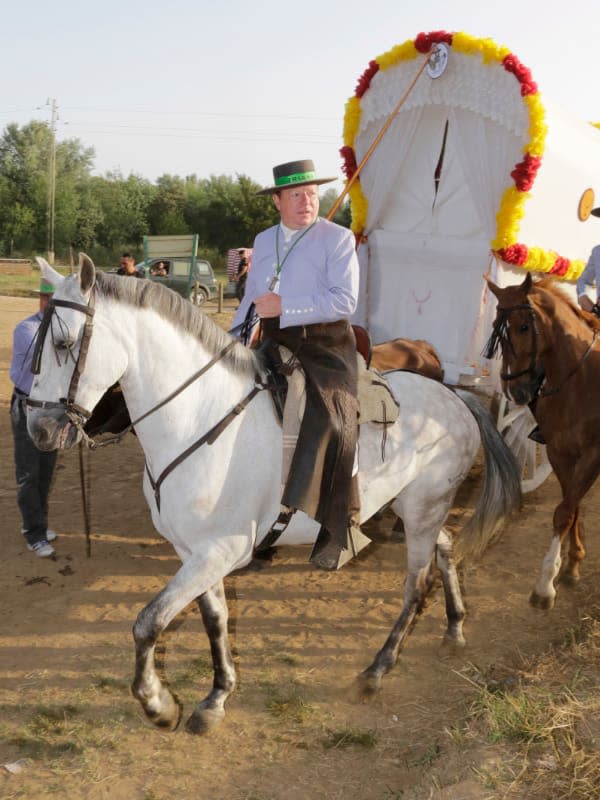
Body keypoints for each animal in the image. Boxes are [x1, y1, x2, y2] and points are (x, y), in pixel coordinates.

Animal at [27, 255, 520, 732]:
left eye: (64, 344)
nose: (39, 429)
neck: (199, 419)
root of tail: (455, 397)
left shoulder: (222, 550)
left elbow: (148, 622)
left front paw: (158, 704)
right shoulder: (195, 553)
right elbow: (216, 618)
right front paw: (216, 696)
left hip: (422, 509)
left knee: (416, 585)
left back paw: (376, 671)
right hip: (417, 506)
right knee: (446, 547)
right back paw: (454, 627)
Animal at [486, 272, 600, 608]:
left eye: (524, 326)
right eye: (496, 330)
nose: (516, 391)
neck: (580, 382)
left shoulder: (592, 455)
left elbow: (564, 511)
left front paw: (544, 586)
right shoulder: (560, 454)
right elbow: (571, 507)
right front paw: (572, 565)